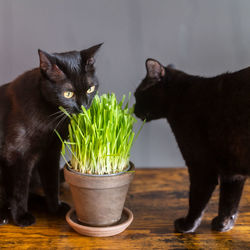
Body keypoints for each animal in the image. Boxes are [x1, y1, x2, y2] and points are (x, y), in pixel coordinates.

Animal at [0, 43, 102, 227]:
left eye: (90, 89)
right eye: (68, 94)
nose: (83, 106)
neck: (50, 116)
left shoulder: (51, 151)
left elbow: (51, 182)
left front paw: (55, 208)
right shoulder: (15, 155)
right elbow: (18, 190)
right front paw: (21, 217)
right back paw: (4, 214)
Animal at [135, 58, 250, 232]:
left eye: (137, 95)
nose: (133, 110)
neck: (181, 98)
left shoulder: (200, 166)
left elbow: (196, 200)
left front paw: (187, 225)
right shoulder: (232, 173)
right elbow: (228, 202)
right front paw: (223, 224)